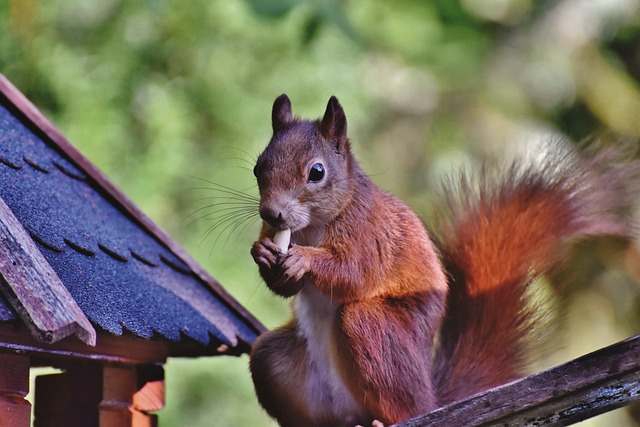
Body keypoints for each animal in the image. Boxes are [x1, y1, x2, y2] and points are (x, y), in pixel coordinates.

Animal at [248, 94, 637, 427]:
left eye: (316, 172)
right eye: (257, 168)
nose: (272, 213)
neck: (313, 226)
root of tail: (431, 397)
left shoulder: (371, 232)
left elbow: (357, 273)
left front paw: (303, 259)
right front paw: (263, 254)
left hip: (376, 333)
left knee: (393, 383)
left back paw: (386, 420)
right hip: (272, 359)